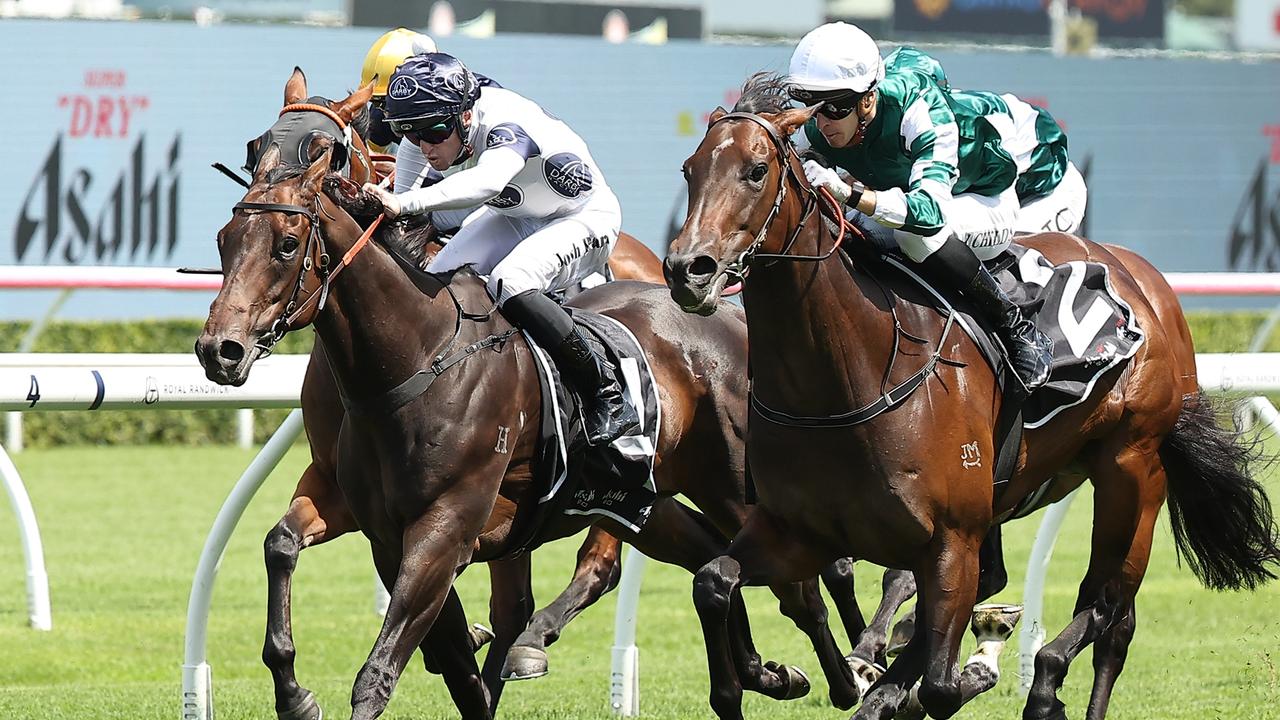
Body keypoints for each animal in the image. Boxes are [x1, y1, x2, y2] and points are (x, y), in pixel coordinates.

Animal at [660, 73, 1280, 717]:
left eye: (757, 170)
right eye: (690, 168)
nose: (688, 269)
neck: (841, 380)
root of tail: (1146, 281)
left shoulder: (953, 539)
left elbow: (939, 680)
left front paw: (968, 665)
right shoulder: (798, 531)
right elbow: (714, 581)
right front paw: (773, 678)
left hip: (1132, 468)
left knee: (1108, 603)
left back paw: (1044, 681)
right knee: (1080, 607)